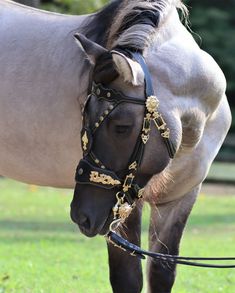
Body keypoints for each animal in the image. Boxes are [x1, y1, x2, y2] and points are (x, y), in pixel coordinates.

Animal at [0, 0, 231, 292]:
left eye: (121, 126)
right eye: (84, 116)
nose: (82, 216)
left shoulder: (181, 196)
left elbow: (162, 272)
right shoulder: (125, 202)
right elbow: (127, 276)